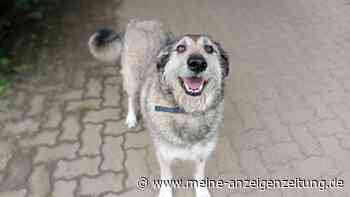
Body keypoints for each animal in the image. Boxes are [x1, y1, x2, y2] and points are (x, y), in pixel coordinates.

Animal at [89, 18, 228, 197]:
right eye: (181, 48)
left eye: (209, 49)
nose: (197, 63)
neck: (188, 112)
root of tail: (140, 21)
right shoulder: (164, 154)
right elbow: (167, 177)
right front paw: (166, 192)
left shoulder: (202, 154)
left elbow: (199, 175)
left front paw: (202, 192)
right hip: (132, 79)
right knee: (131, 97)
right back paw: (131, 118)